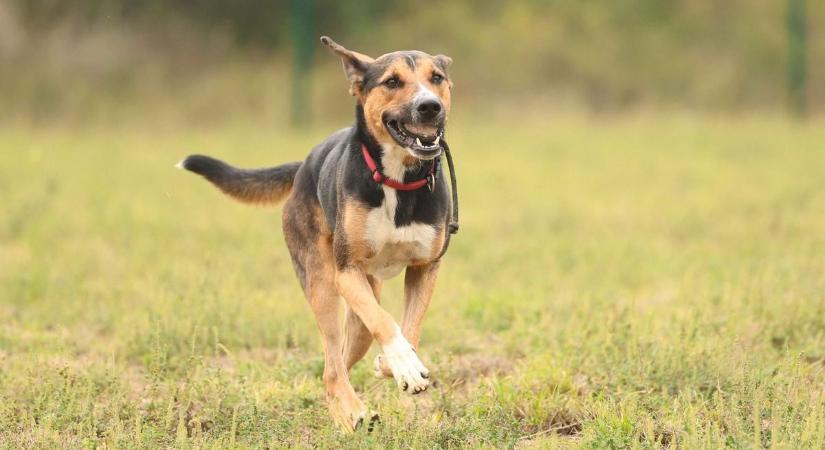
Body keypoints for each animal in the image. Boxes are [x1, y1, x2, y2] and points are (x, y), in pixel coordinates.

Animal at [178, 37, 458, 430]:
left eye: (436, 78)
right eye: (392, 81)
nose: (429, 106)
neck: (396, 179)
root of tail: (302, 169)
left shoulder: (425, 267)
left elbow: (410, 326)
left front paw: (397, 364)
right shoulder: (347, 272)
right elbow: (386, 321)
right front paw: (402, 363)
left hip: (360, 310)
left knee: (338, 361)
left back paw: (350, 412)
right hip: (324, 285)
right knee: (332, 368)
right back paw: (354, 415)